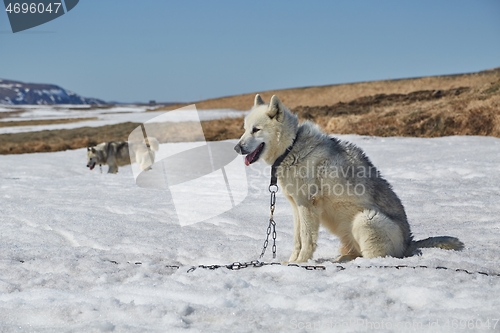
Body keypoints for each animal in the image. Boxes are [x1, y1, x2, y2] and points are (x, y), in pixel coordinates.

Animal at [234, 93, 464, 262]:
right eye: (244, 130)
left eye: (256, 130)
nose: (237, 148)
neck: (292, 148)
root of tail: (409, 243)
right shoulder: (296, 206)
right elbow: (297, 240)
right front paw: (291, 262)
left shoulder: (307, 205)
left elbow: (307, 240)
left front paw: (300, 263)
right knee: (355, 253)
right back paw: (341, 259)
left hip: (365, 220)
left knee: (376, 257)